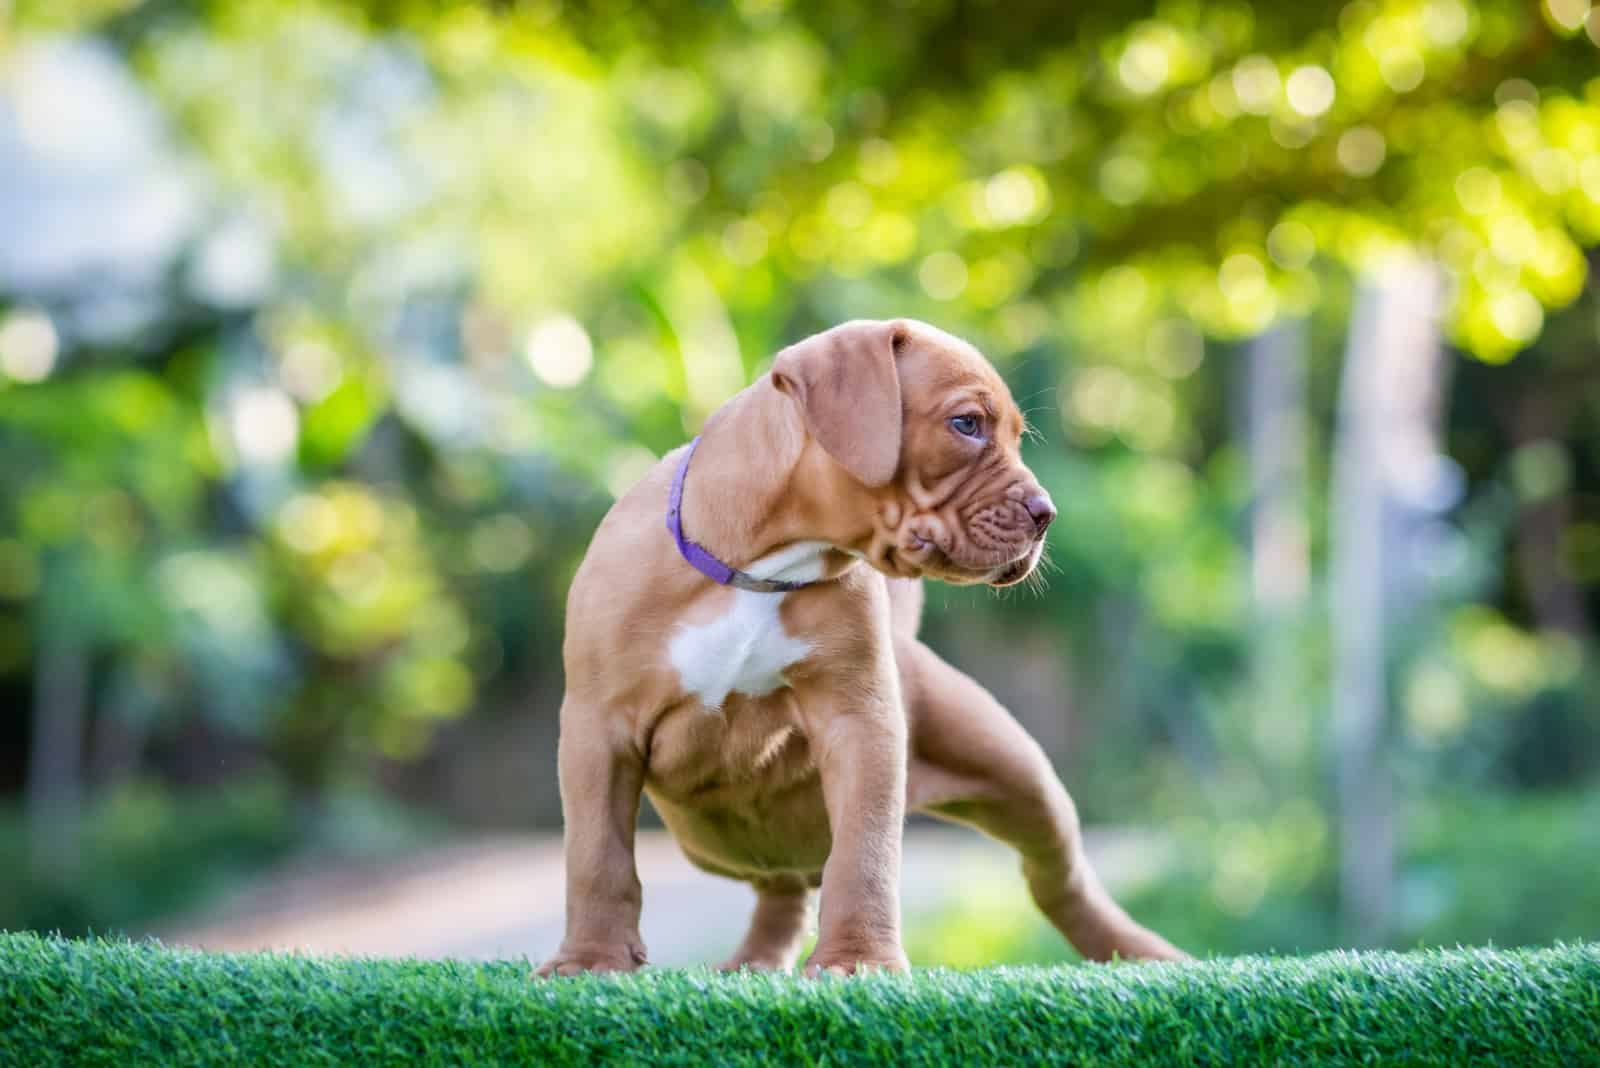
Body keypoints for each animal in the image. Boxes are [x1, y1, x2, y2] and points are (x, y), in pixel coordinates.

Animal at [544, 319, 1184, 978]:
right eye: (966, 424)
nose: (1045, 513)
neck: (764, 567)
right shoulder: (599, 730)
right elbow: (597, 854)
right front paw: (592, 959)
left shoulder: (861, 723)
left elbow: (863, 853)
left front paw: (858, 960)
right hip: (728, 844)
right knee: (784, 887)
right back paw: (756, 961)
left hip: (1021, 775)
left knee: (1057, 874)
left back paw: (1142, 955)